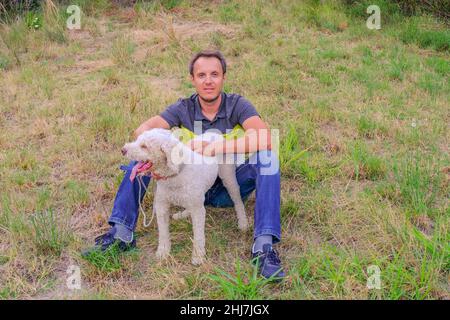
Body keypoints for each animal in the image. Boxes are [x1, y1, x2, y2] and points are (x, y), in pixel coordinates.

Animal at [121, 128, 248, 264]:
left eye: (144, 146)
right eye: (137, 140)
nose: (123, 150)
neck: (175, 174)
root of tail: (216, 134)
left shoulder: (197, 210)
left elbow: (198, 235)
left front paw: (198, 255)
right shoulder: (162, 206)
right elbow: (163, 232)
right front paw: (163, 251)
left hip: (228, 176)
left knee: (237, 199)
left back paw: (243, 222)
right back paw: (184, 214)